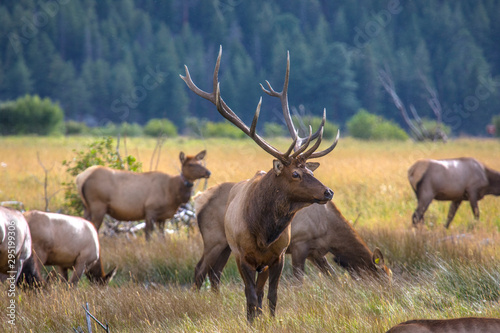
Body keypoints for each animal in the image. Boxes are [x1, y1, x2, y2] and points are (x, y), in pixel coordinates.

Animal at [76, 150, 211, 239]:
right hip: (98, 205)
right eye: (191, 164)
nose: (208, 172)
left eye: (200, 162)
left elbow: (162, 237)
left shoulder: (162, 217)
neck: (173, 193)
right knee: (94, 228)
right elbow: (148, 235)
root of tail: (81, 177)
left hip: (86, 207)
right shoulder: (150, 210)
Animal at [181, 45, 340, 320]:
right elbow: (251, 297)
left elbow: (271, 296)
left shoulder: (277, 257)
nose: (327, 192)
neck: (263, 233)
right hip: (218, 242)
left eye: (308, 169)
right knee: (208, 273)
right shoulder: (242, 256)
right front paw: (252, 321)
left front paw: (271, 320)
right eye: (295, 174)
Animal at [193, 183, 392, 290]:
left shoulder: (316, 252)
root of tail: (199, 200)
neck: (330, 230)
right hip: (214, 240)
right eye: (382, 279)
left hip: (227, 246)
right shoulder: (299, 245)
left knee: (215, 273)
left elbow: (333, 276)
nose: (389, 293)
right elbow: (298, 280)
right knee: (200, 269)